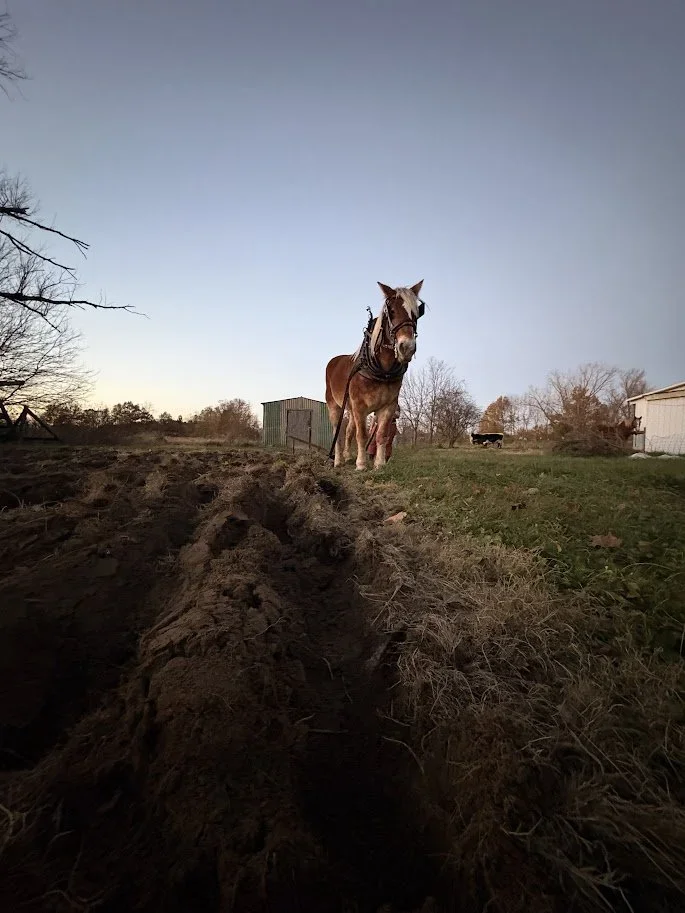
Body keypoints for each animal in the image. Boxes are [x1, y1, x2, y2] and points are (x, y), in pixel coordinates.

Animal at [325, 281, 424, 470]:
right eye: (391, 311)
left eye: (417, 312)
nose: (407, 347)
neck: (381, 371)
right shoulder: (359, 406)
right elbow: (362, 435)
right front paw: (361, 464)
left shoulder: (388, 406)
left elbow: (381, 435)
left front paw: (379, 464)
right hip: (334, 405)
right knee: (337, 432)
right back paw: (338, 460)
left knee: (348, 431)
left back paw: (347, 457)